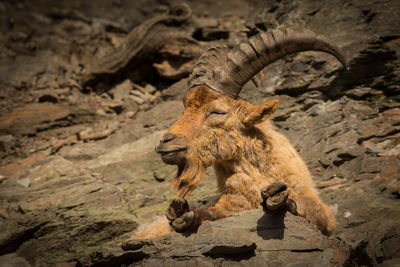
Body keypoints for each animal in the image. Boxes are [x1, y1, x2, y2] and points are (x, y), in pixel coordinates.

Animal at [155, 27, 346, 237]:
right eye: (185, 108)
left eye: (218, 111)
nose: (165, 141)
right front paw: (183, 215)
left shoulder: (324, 215)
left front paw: (279, 201)